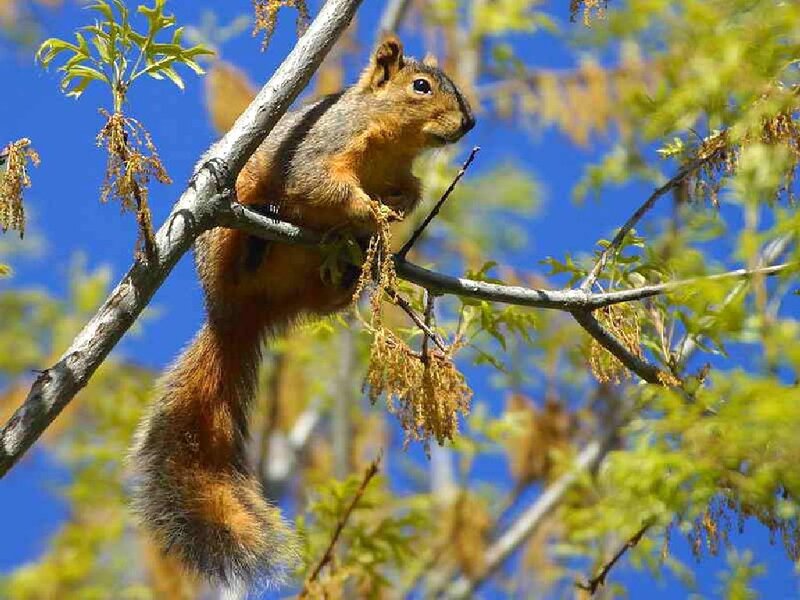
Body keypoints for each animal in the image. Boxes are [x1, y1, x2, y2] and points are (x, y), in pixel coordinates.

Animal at [130, 35, 475, 590]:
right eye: (420, 86)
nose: (469, 123)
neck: (392, 143)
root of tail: (234, 316)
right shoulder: (319, 149)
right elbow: (321, 185)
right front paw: (370, 212)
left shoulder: (402, 175)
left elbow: (410, 194)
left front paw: (389, 216)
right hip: (229, 222)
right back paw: (258, 233)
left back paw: (347, 271)